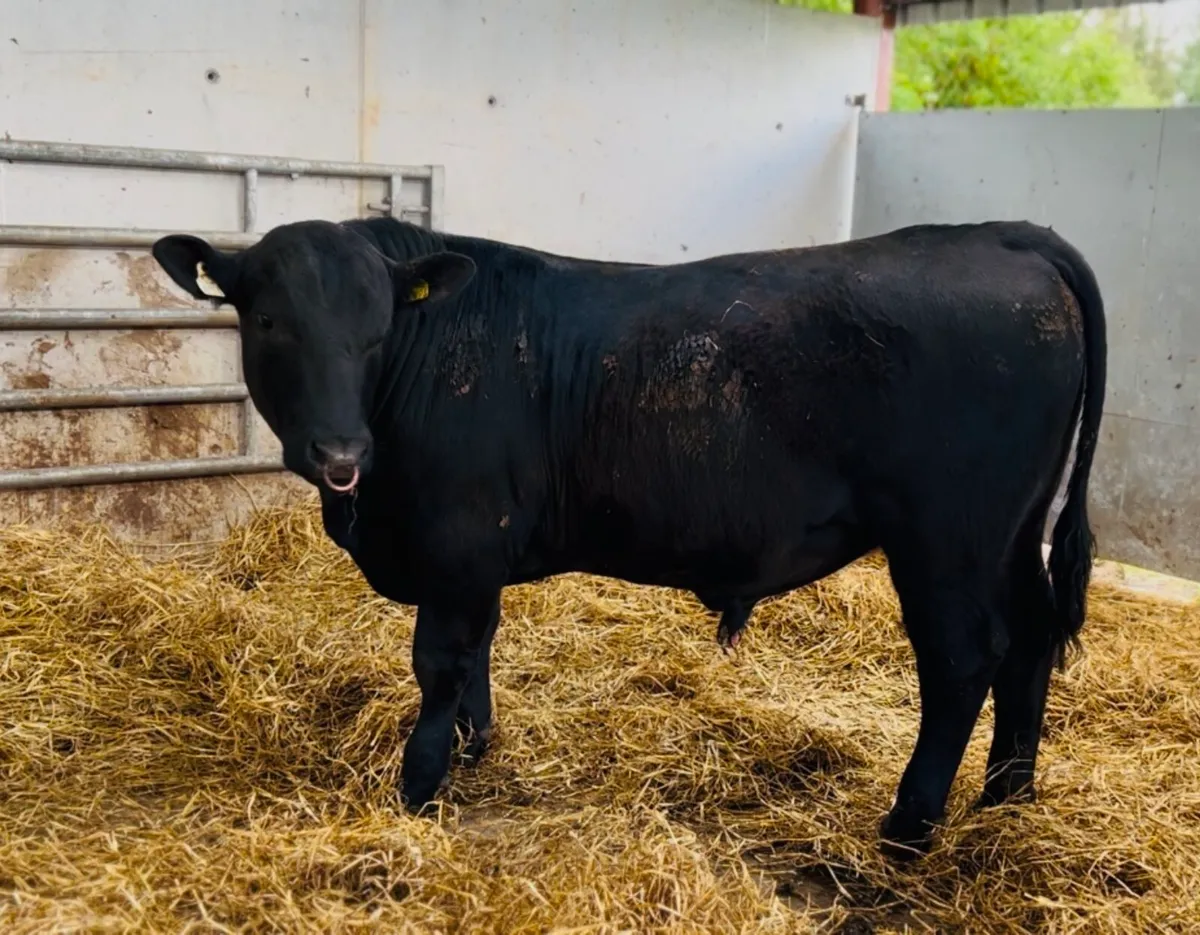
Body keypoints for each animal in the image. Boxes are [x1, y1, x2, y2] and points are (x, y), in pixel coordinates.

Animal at [151, 216, 1105, 859]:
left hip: (948, 541)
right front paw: (474, 744)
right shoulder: (478, 559)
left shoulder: (458, 545)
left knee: (963, 660)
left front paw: (418, 784)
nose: (340, 452)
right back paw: (1007, 799)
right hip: (1011, 536)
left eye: (377, 328)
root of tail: (1003, 234)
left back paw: (910, 824)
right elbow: (481, 650)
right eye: (269, 322)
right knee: (1029, 644)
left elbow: (441, 664)